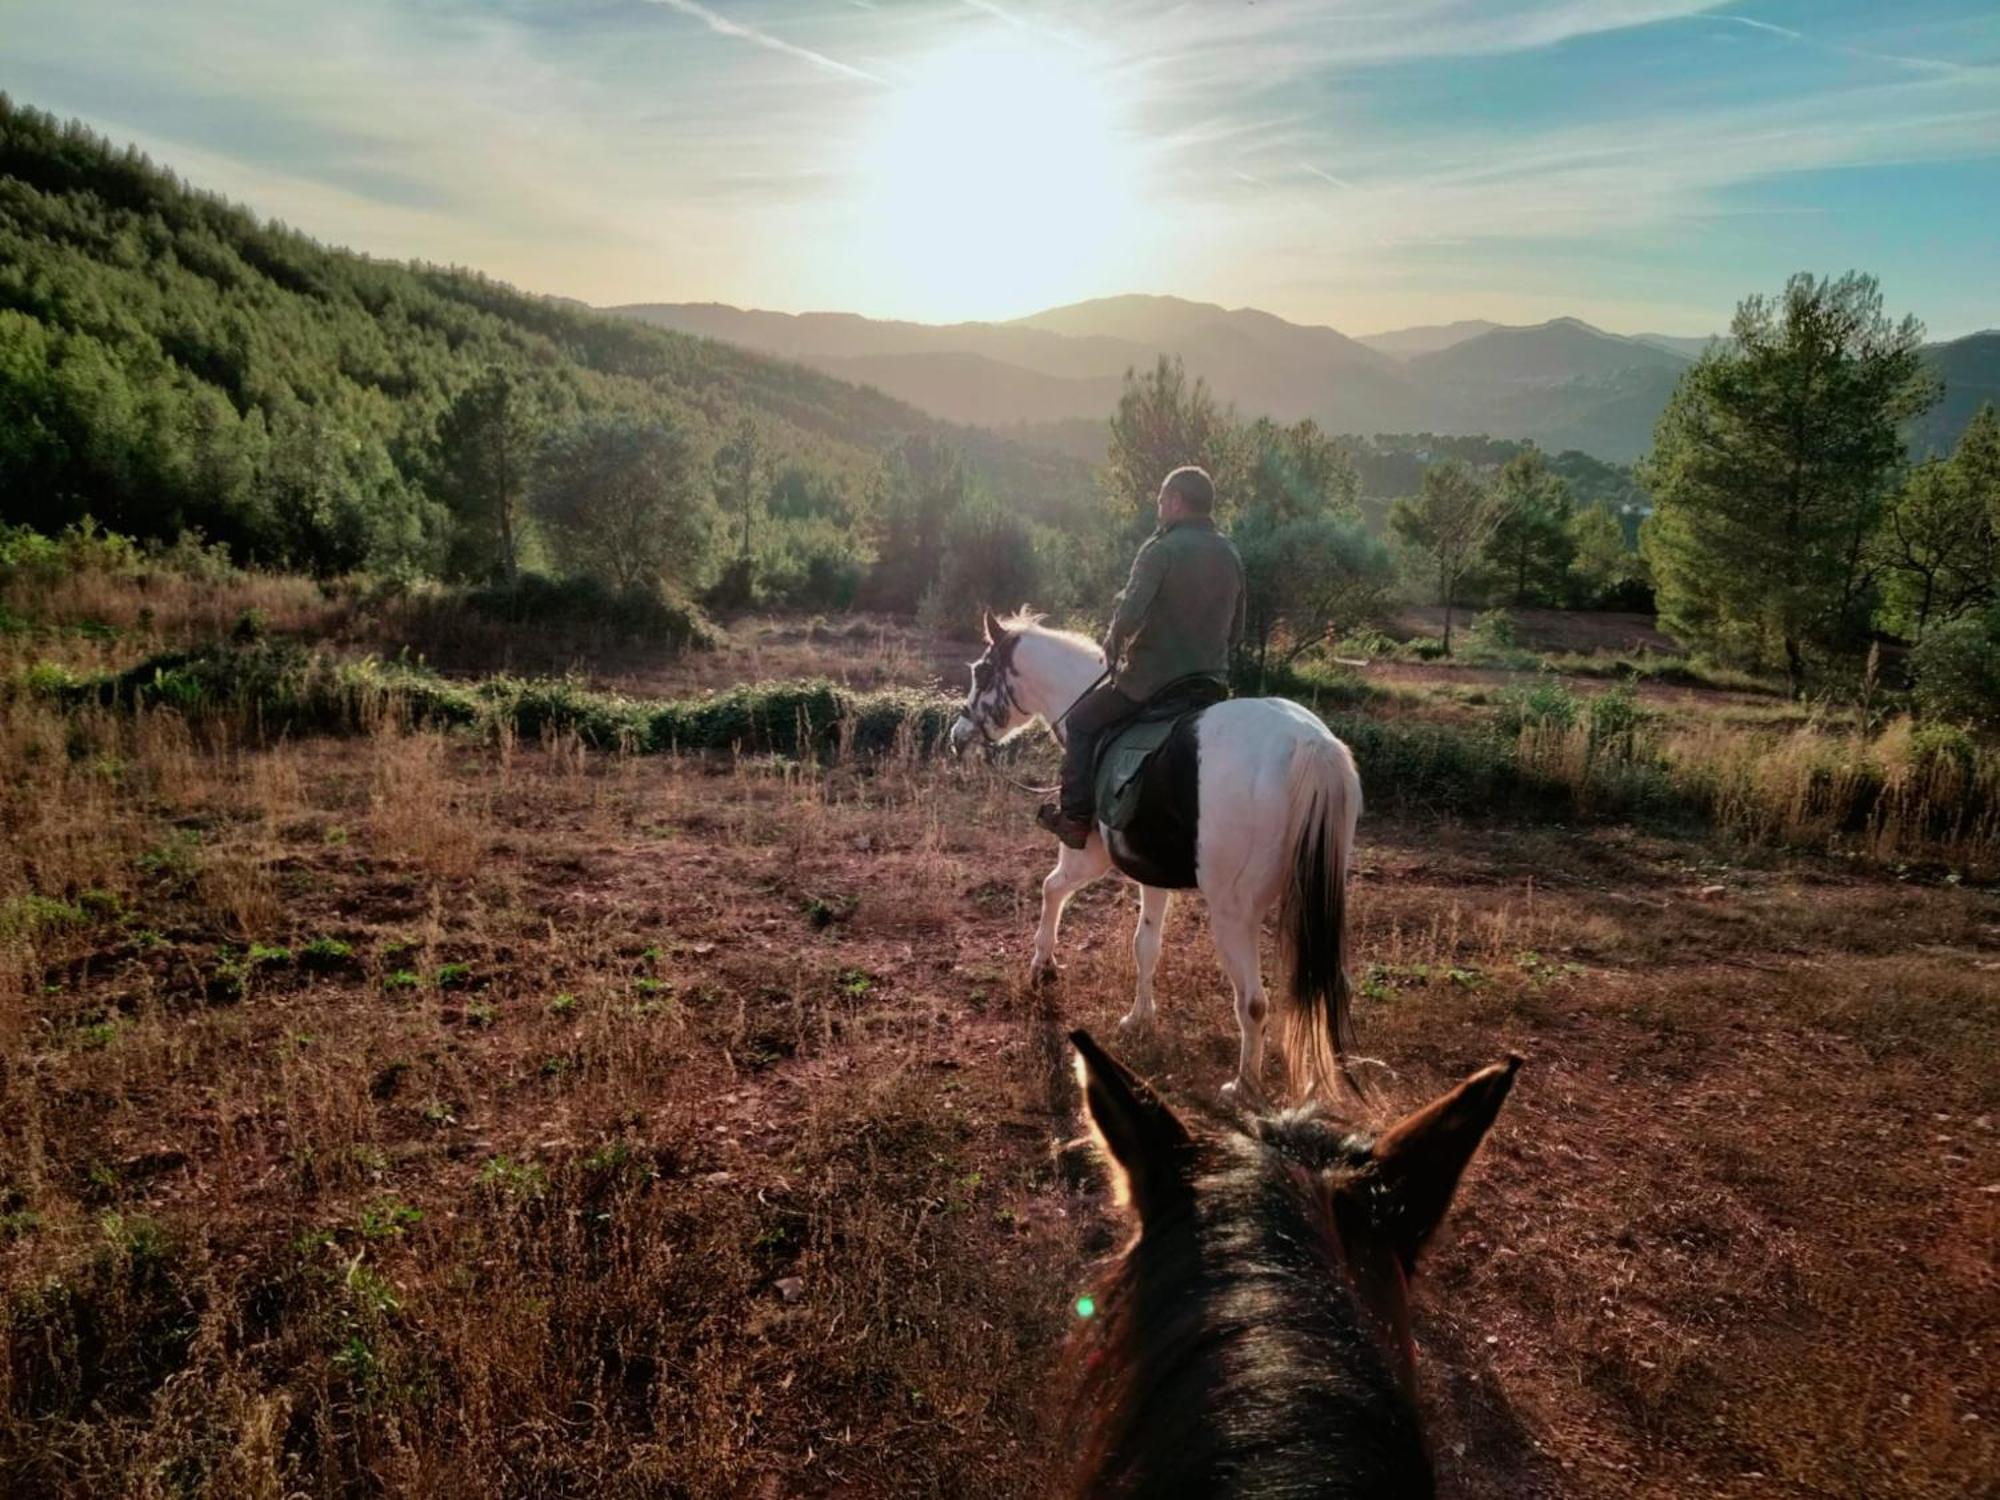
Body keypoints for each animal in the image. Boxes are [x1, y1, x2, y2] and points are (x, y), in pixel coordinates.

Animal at [948, 608, 1360, 1104]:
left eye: (981, 670)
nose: (958, 736)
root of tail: (1311, 746)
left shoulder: (1089, 855)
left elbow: (1052, 888)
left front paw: (1042, 965)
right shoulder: (1152, 875)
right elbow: (1146, 945)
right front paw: (1139, 1018)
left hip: (1233, 913)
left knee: (1254, 1003)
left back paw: (1242, 1086)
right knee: (1321, 990)